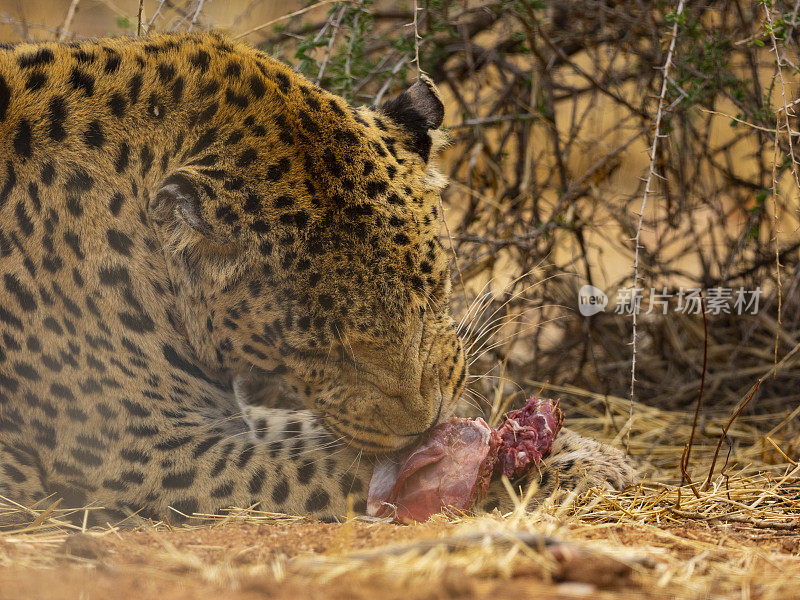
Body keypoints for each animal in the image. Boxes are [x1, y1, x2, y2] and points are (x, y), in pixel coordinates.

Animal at [0, 31, 636, 524]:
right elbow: (332, 468)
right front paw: (503, 471)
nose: (427, 421)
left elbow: (300, 427)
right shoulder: (141, 453)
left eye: (434, 291)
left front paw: (583, 453)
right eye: (323, 351)